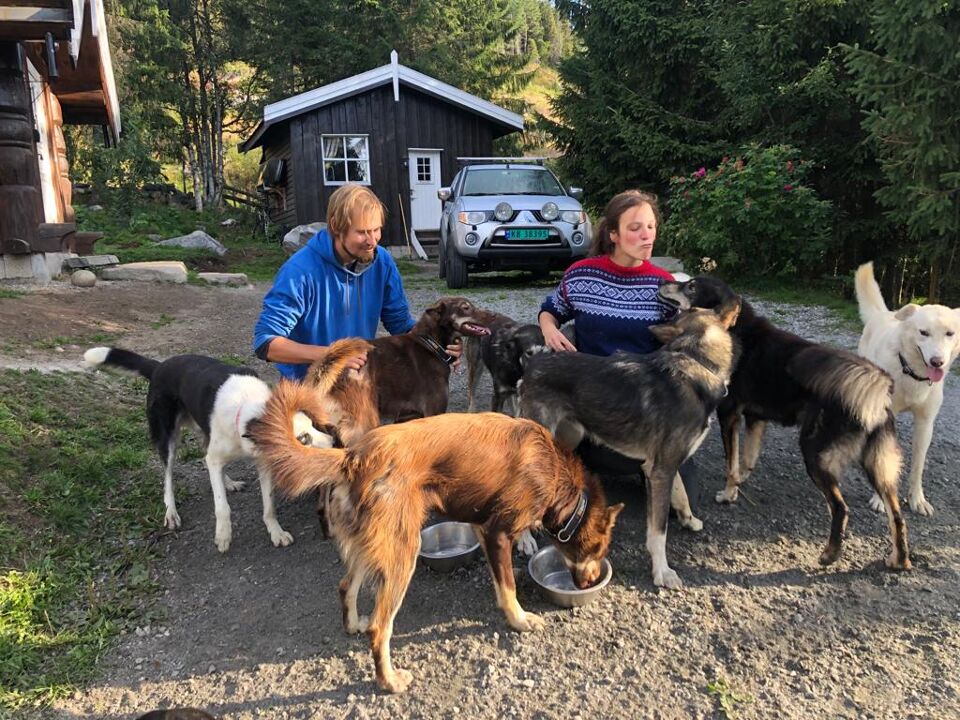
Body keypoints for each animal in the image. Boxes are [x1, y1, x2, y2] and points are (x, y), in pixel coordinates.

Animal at [86, 348, 334, 552]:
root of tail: (158, 366)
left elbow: (269, 505)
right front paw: (223, 536)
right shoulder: (219, 458)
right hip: (168, 439)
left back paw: (228, 482)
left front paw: (276, 532)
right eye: (303, 438)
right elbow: (222, 506)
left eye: (314, 423)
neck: (247, 411)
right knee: (168, 477)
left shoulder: (264, 462)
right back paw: (171, 512)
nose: (334, 443)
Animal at [248, 382, 624, 692]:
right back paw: (390, 681)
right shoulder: (499, 533)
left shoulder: (481, 527)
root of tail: (354, 458)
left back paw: (353, 624)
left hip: (373, 543)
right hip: (402, 554)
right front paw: (519, 619)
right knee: (380, 628)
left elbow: (498, 579)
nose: (591, 583)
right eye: (600, 548)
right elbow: (508, 588)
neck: (557, 478)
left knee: (346, 587)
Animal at [516, 300, 744, 588]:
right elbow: (658, 530)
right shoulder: (661, 470)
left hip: (569, 436)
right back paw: (525, 538)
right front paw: (662, 572)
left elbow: (680, 493)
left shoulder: (662, 466)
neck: (696, 361)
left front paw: (689, 519)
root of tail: (533, 362)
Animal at [856, 262, 960, 516]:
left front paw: (917, 499)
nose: (937, 362)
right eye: (923, 332)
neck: (911, 373)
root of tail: (883, 313)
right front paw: (880, 499)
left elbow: (918, 466)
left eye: (950, 333)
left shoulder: (925, 423)